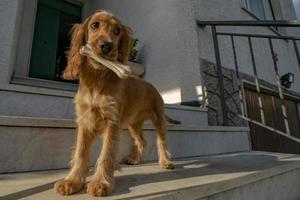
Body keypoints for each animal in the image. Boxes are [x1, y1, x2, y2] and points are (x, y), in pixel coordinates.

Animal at [54, 10, 178, 197]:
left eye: (117, 30)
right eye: (94, 25)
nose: (106, 46)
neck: (97, 79)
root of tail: (153, 87)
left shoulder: (111, 122)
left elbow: (106, 154)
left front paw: (100, 183)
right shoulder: (85, 121)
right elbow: (80, 153)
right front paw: (72, 182)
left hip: (158, 118)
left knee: (161, 141)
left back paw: (165, 162)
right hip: (133, 123)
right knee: (142, 141)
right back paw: (134, 159)